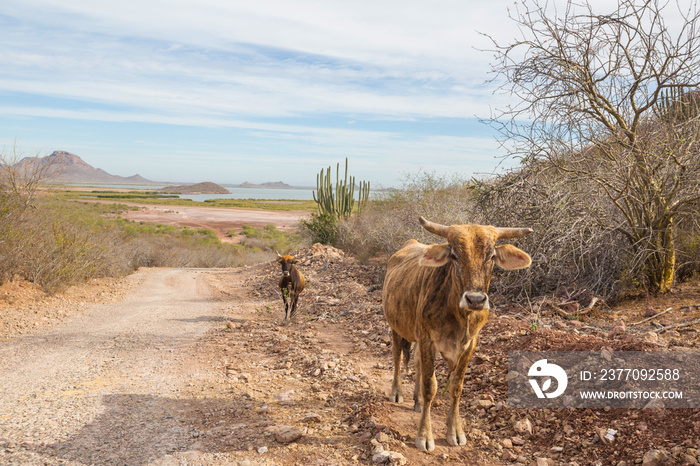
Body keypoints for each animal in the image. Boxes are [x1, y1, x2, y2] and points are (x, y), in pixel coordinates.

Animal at [382, 218, 532, 452]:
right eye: (454, 255)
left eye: (491, 256)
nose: (475, 299)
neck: (460, 315)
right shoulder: (428, 340)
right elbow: (430, 387)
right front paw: (424, 435)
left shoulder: (470, 345)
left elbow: (456, 386)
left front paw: (455, 430)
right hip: (396, 327)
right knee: (397, 357)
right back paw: (397, 392)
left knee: (416, 363)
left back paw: (417, 401)